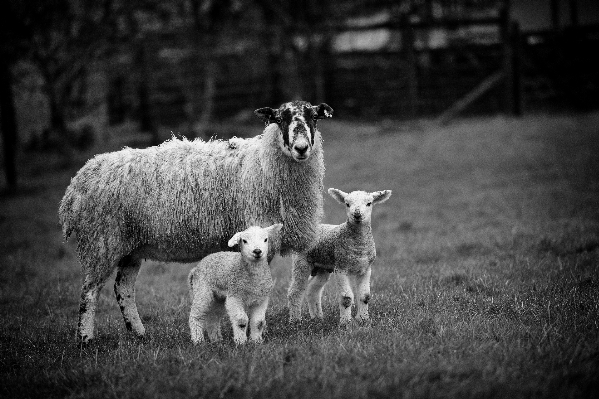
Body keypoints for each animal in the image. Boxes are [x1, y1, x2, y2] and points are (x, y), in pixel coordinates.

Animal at [58, 101, 332, 344]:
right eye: (281, 118)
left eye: (313, 117)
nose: (301, 148)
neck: (261, 162)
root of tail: (76, 185)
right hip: (102, 239)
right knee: (90, 291)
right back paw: (85, 338)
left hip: (130, 246)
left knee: (123, 289)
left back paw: (139, 334)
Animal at [288, 189, 392, 326]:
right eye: (347, 204)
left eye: (369, 203)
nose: (357, 215)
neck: (359, 246)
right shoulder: (341, 267)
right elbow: (346, 298)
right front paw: (345, 322)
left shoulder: (366, 268)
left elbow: (365, 296)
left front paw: (363, 319)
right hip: (301, 262)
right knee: (295, 291)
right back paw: (295, 320)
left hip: (322, 267)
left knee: (313, 290)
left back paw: (317, 317)